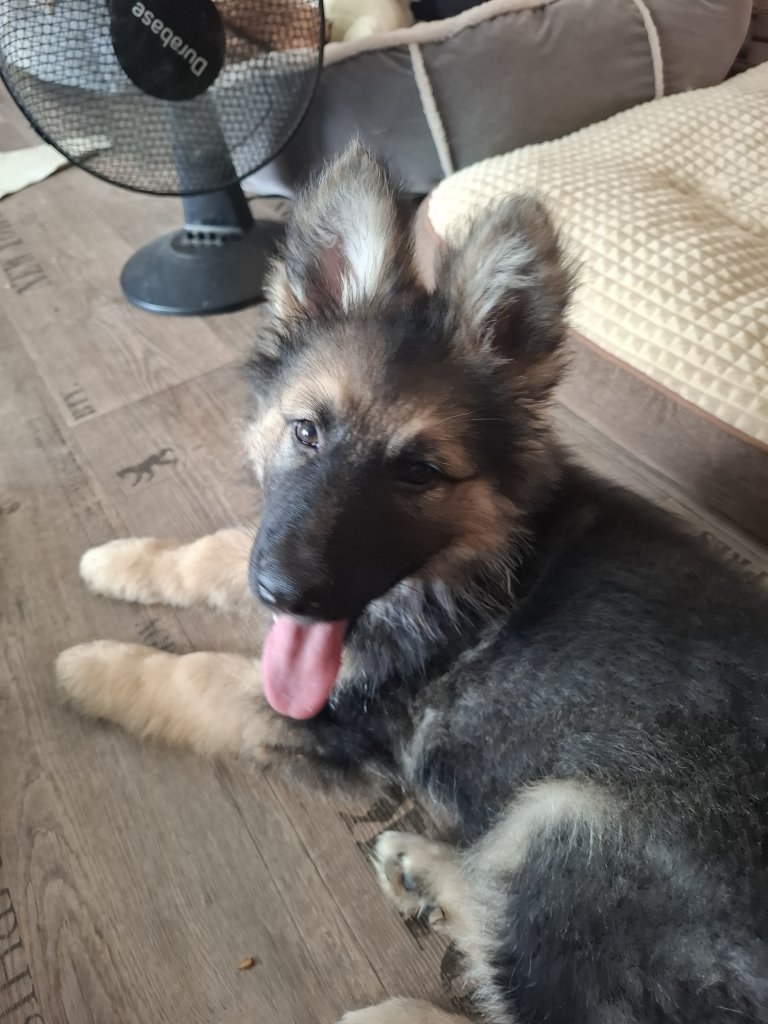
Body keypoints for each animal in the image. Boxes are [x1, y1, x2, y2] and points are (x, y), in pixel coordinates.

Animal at [56, 145, 767, 1024]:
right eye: (305, 430)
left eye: (419, 473)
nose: (286, 595)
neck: (481, 564)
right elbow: (219, 550)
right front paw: (123, 561)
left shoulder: (335, 717)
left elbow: (194, 677)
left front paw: (89, 666)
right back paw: (426, 869)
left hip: (567, 824)